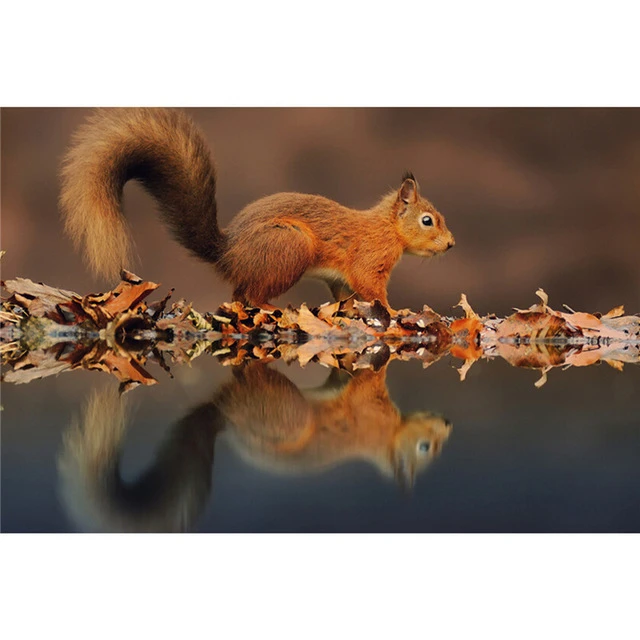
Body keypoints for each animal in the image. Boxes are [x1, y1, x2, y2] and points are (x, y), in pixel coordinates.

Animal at [60, 108, 455, 309]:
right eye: (427, 220)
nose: (451, 244)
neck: (387, 228)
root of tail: (228, 253)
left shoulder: (340, 280)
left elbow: (346, 296)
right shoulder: (369, 261)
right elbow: (372, 289)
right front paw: (394, 312)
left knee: (239, 295)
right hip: (290, 247)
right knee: (251, 295)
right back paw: (270, 310)